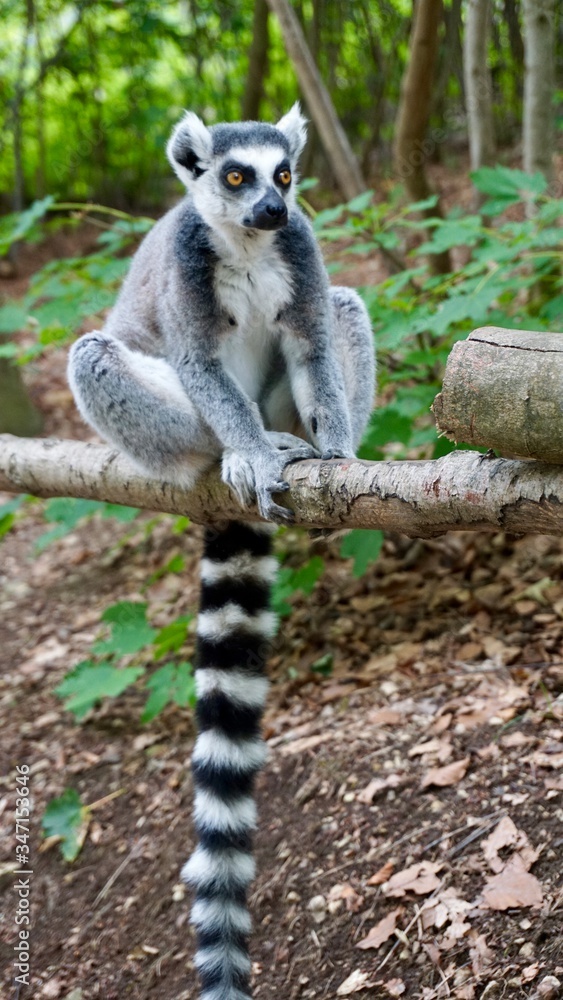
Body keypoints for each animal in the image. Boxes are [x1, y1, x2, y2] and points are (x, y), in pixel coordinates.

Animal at [68, 104, 375, 1000]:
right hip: (158, 415)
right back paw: (235, 454)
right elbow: (200, 360)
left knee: (342, 306)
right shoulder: (186, 272)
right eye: (235, 177)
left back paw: (296, 444)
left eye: (283, 176)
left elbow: (314, 339)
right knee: (102, 355)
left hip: (289, 371)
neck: (243, 246)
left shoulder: (298, 255)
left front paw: (337, 450)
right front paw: (244, 451)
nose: (272, 209)